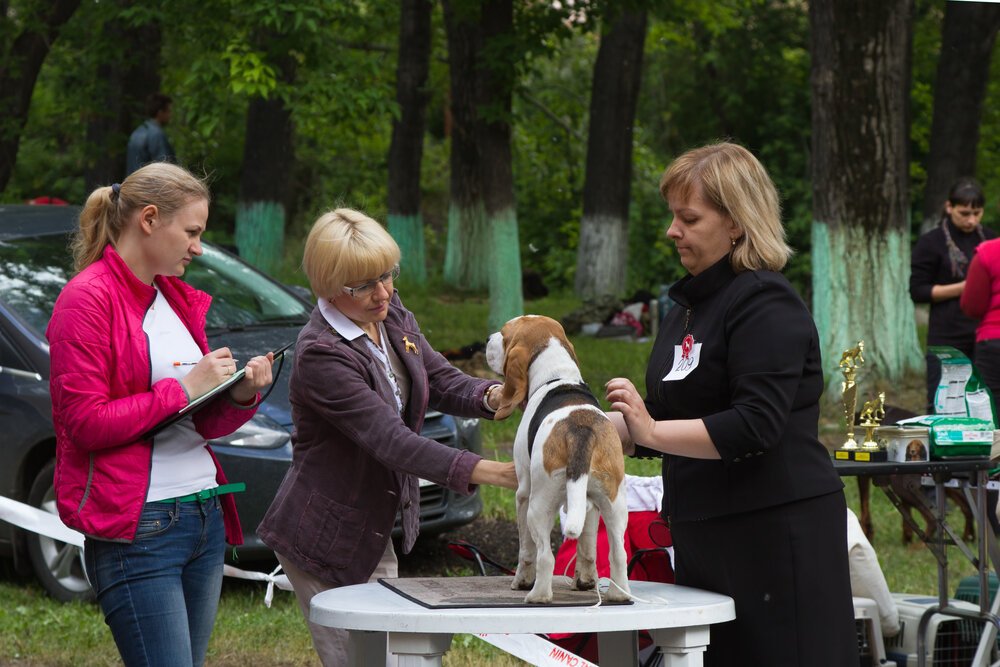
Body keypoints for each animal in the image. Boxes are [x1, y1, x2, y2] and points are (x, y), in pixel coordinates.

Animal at [482, 316, 624, 604]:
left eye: (504, 334)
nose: (486, 340)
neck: (558, 376)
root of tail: (581, 431)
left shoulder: (523, 494)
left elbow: (526, 551)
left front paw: (521, 581)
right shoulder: (589, 505)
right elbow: (587, 548)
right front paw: (585, 580)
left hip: (538, 505)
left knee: (544, 556)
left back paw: (537, 595)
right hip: (614, 503)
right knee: (619, 554)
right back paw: (619, 595)